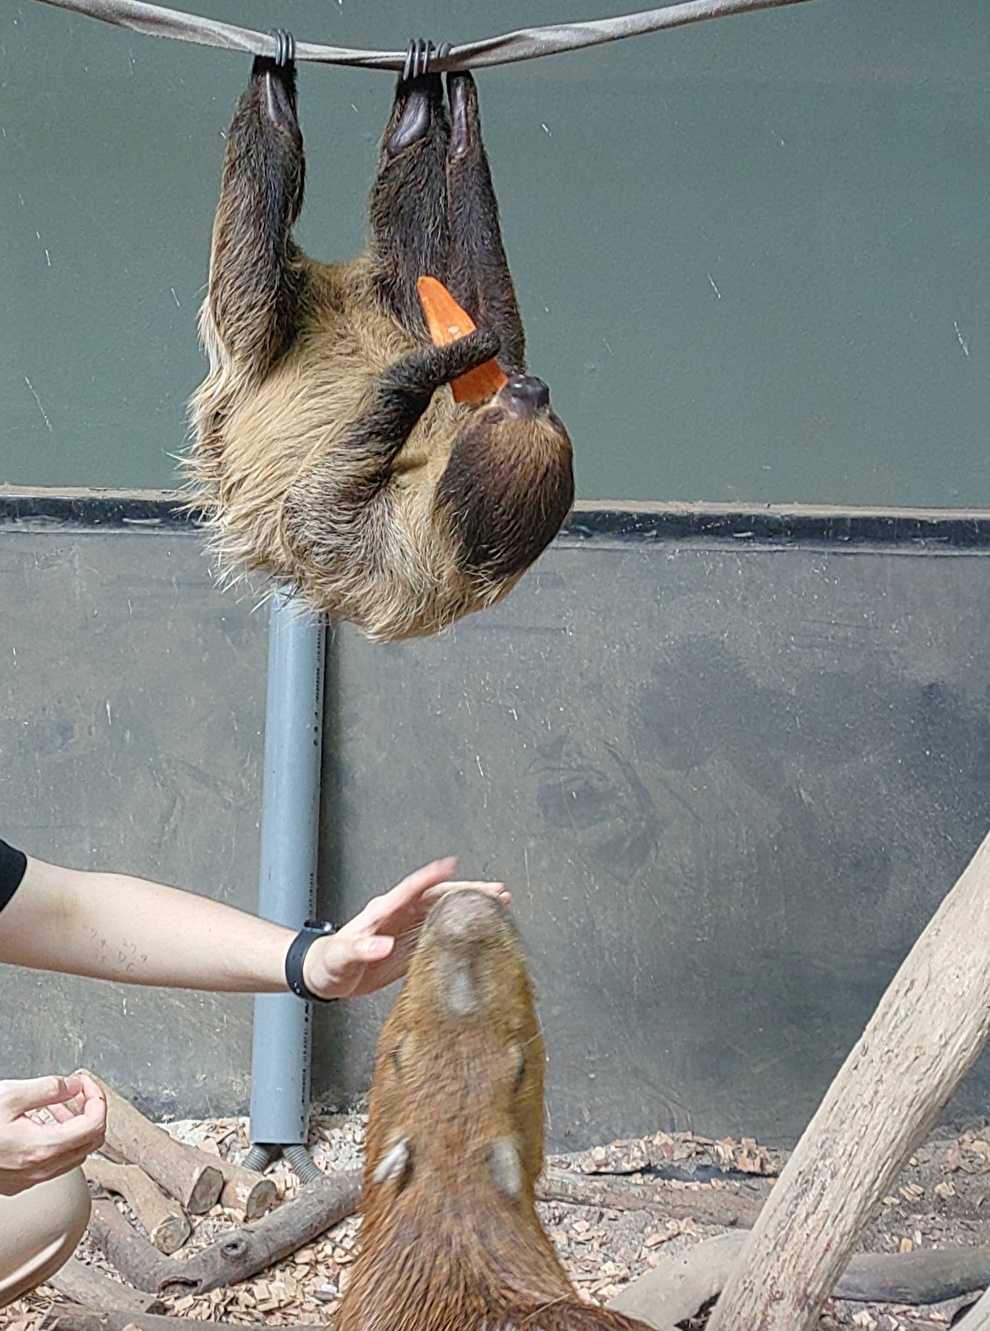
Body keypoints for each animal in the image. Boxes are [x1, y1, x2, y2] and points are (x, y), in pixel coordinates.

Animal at [188, 35, 574, 642]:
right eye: (549, 415)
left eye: (501, 418)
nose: (529, 391)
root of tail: (336, 285)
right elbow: (496, 326)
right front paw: (464, 125)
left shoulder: (387, 558)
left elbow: (310, 510)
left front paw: (433, 362)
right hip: (394, 295)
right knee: (414, 247)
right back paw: (418, 112)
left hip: (246, 339)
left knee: (252, 248)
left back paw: (275, 103)